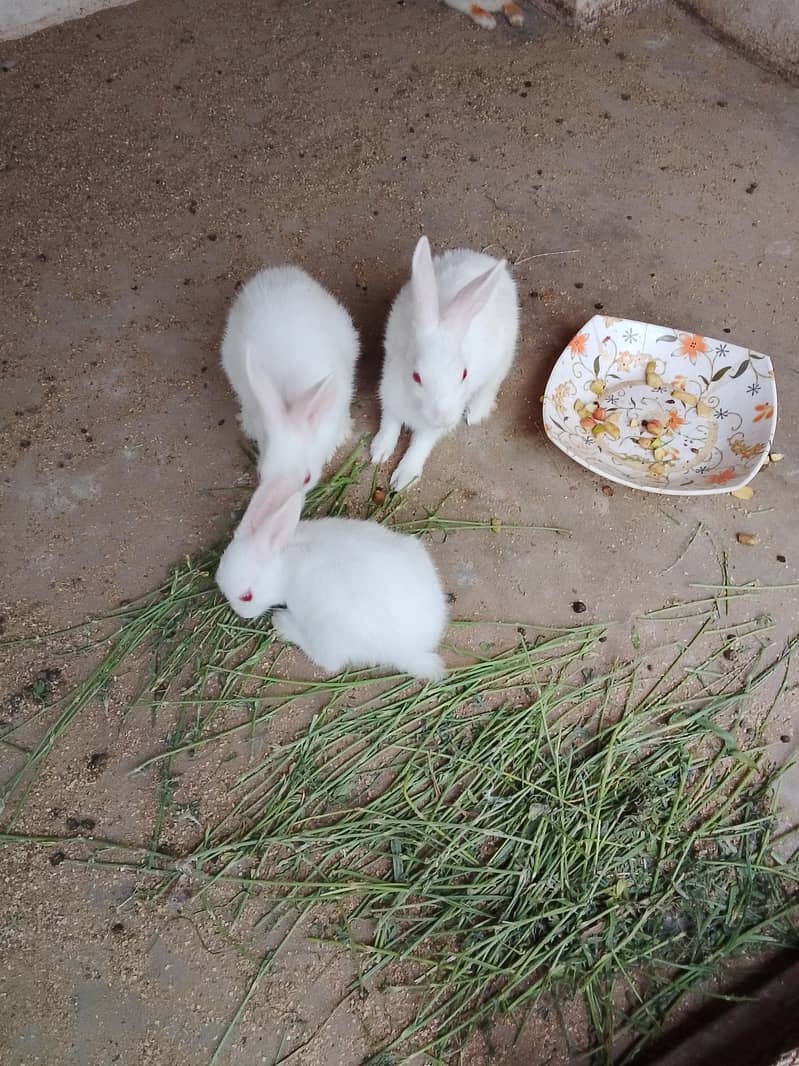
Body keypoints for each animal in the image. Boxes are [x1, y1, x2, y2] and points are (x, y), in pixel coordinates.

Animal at [215, 488, 448, 682]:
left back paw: (282, 622)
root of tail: (413, 650)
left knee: (326, 660)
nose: (241, 614)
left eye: (247, 597)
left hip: (330, 634)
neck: (286, 563)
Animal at [371, 236, 519, 491]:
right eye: (416, 376)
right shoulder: (390, 400)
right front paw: (378, 452)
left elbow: (419, 446)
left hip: (502, 360)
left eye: (464, 374)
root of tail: (485, 259)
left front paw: (403, 479)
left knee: (490, 386)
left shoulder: (429, 431)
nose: (444, 419)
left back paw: (475, 413)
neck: (417, 407)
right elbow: (389, 426)